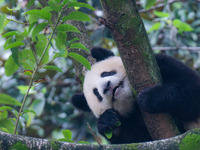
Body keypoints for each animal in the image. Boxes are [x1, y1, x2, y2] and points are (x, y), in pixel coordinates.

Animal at [71, 47, 200, 144]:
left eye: (105, 74)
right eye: (97, 93)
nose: (106, 87)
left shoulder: (159, 62)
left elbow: (190, 90)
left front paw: (148, 98)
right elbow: (134, 139)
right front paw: (107, 121)